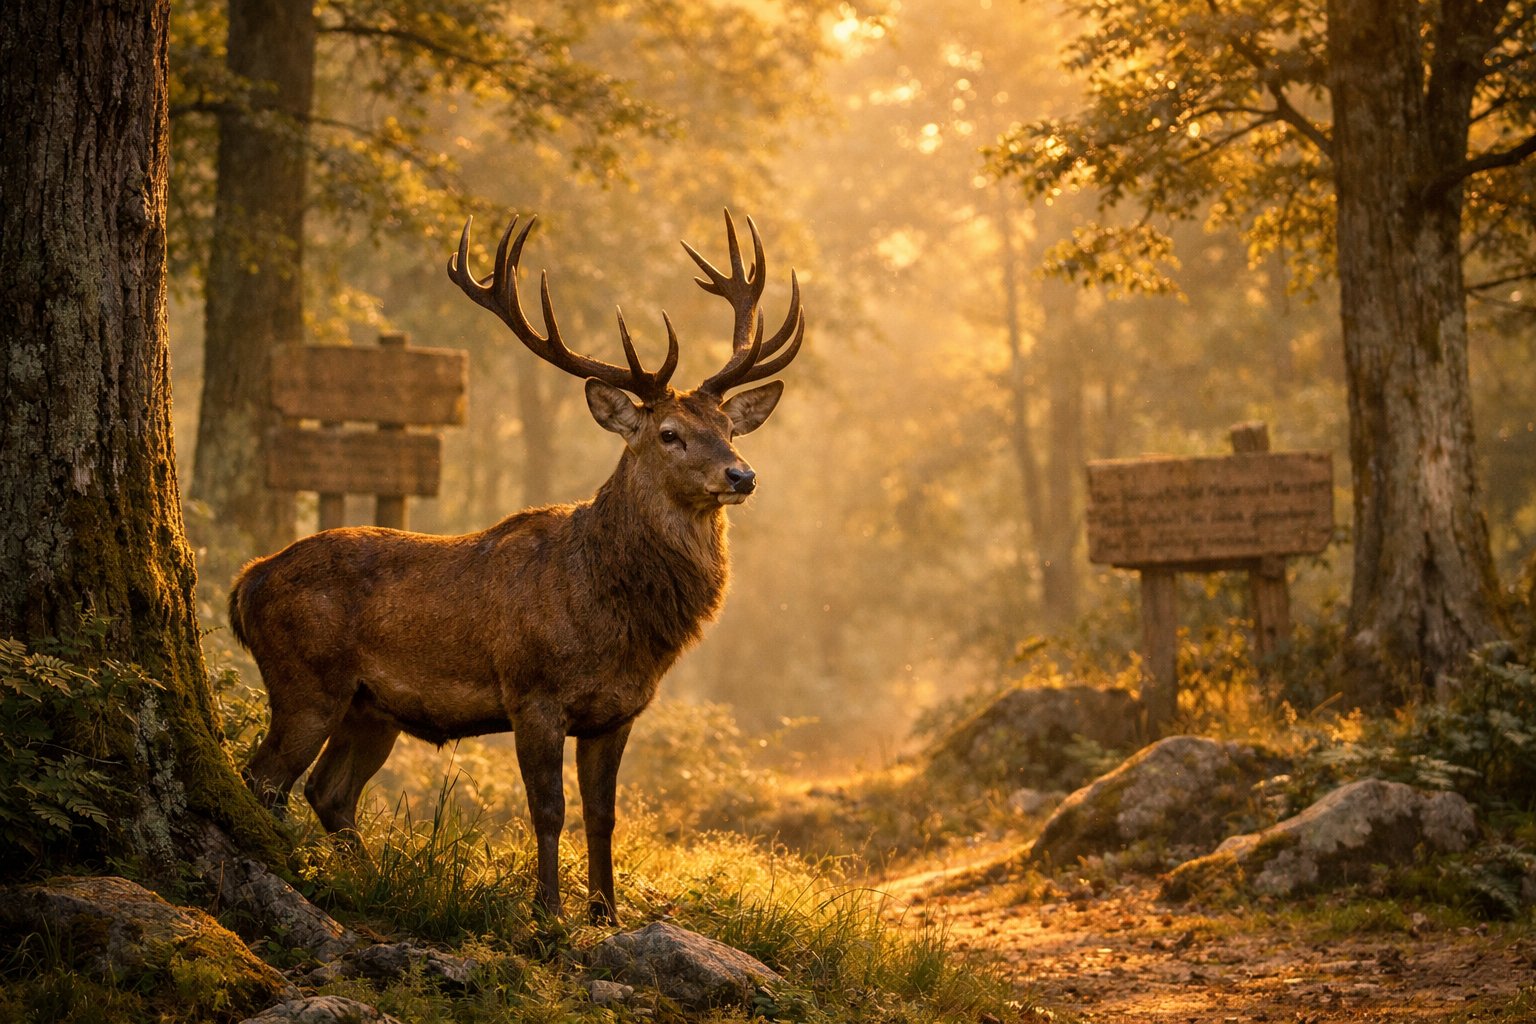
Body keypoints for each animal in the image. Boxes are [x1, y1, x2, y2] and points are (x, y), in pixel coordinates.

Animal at [229, 210, 803, 923]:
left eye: (730, 428)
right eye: (669, 433)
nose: (742, 475)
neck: (610, 612)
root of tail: (247, 581)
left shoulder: (618, 712)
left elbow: (603, 815)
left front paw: (606, 914)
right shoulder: (532, 691)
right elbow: (548, 810)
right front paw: (547, 913)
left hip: (371, 709)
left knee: (329, 792)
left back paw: (362, 880)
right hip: (305, 680)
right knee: (262, 778)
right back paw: (288, 872)